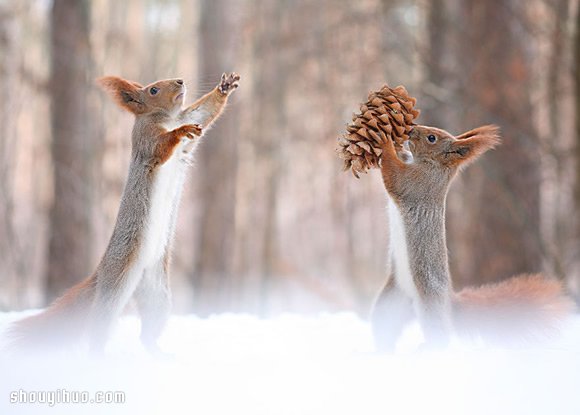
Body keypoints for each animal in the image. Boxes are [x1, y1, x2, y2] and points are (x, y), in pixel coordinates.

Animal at [6, 72, 240, 358]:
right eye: (153, 90)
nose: (180, 81)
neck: (167, 118)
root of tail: (102, 273)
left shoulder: (190, 120)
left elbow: (204, 113)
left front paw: (224, 87)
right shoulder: (145, 140)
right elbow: (160, 147)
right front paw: (178, 132)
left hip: (158, 295)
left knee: (148, 331)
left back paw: (159, 354)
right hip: (116, 286)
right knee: (99, 327)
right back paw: (99, 357)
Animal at [372, 125, 576, 352]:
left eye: (432, 138)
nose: (411, 130)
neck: (434, 166)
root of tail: (450, 303)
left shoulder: (418, 183)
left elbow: (394, 177)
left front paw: (385, 142)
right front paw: (396, 144)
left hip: (430, 300)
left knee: (440, 334)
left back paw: (427, 349)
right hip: (390, 304)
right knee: (384, 328)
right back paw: (380, 350)